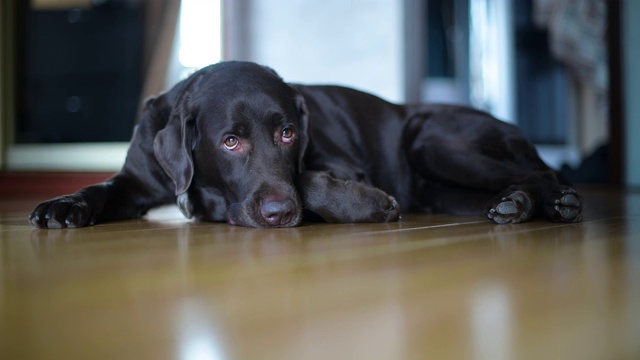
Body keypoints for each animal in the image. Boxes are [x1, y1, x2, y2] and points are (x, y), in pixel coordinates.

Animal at [30, 59, 584, 228]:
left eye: (288, 133)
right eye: (229, 141)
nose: (278, 214)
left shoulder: (338, 165)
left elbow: (309, 182)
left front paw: (369, 204)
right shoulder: (137, 177)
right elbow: (103, 188)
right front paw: (64, 205)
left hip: (432, 139)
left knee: (544, 170)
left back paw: (549, 202)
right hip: (442, 189)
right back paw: (519, 205)